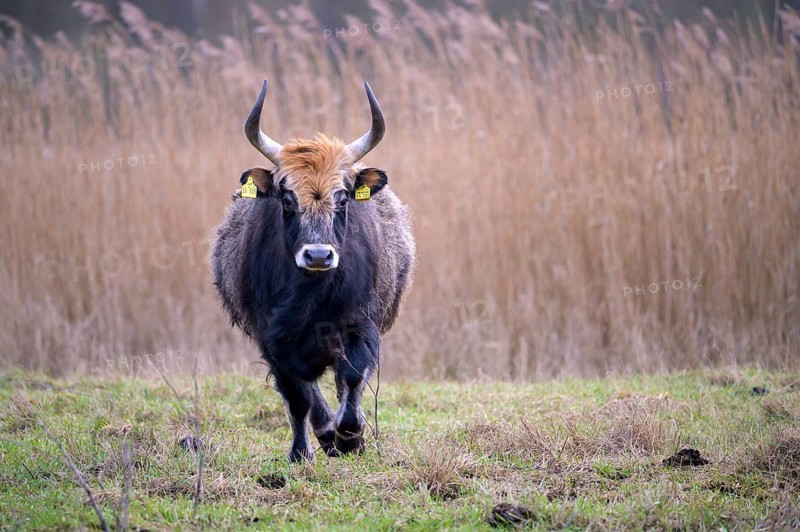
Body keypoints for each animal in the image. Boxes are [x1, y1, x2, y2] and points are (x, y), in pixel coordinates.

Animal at [211, 81, 415, 462]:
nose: (318, 255)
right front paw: (308, 446)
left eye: (343, 198)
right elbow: (298, 398)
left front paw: (351, 435)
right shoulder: (272, 340)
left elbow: (351, 377)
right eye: (287, 198)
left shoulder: (361, 324)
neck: (312, 298)